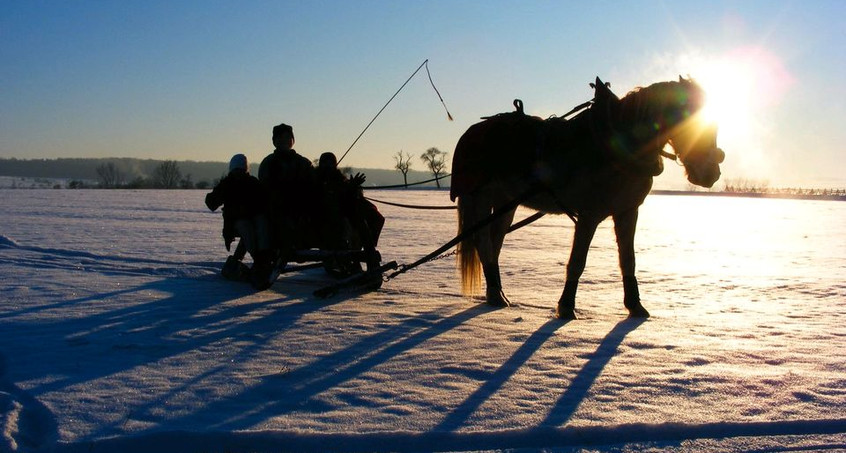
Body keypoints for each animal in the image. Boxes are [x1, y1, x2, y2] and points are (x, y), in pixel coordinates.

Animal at [454, 75, 724, 318]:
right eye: (687, 119)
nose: (711, 173)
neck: (620, 146)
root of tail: (472, 132)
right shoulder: (589, 214)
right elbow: (578, 261)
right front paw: (566, 307)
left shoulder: (628, 211)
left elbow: (628, 259)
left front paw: (635, 306)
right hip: (479, 197)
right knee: (483, 242)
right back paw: (496, 294)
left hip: (505, 202)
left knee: (494, 243)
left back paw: (496, 293)